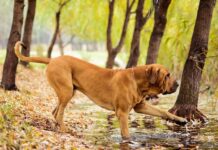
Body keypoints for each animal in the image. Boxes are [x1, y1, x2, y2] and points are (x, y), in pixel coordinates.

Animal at [14, 41, 186, 141]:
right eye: (167, 75)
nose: (178, 84)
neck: (137, 81)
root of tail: (53, 59)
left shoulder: (141, 106)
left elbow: (162, 111)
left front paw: (180, 119)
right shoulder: (122, 113)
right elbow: (126, 133)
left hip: (67, 91)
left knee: (55, 111)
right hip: (66, 90)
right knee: (59, 113)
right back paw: (64, 130)